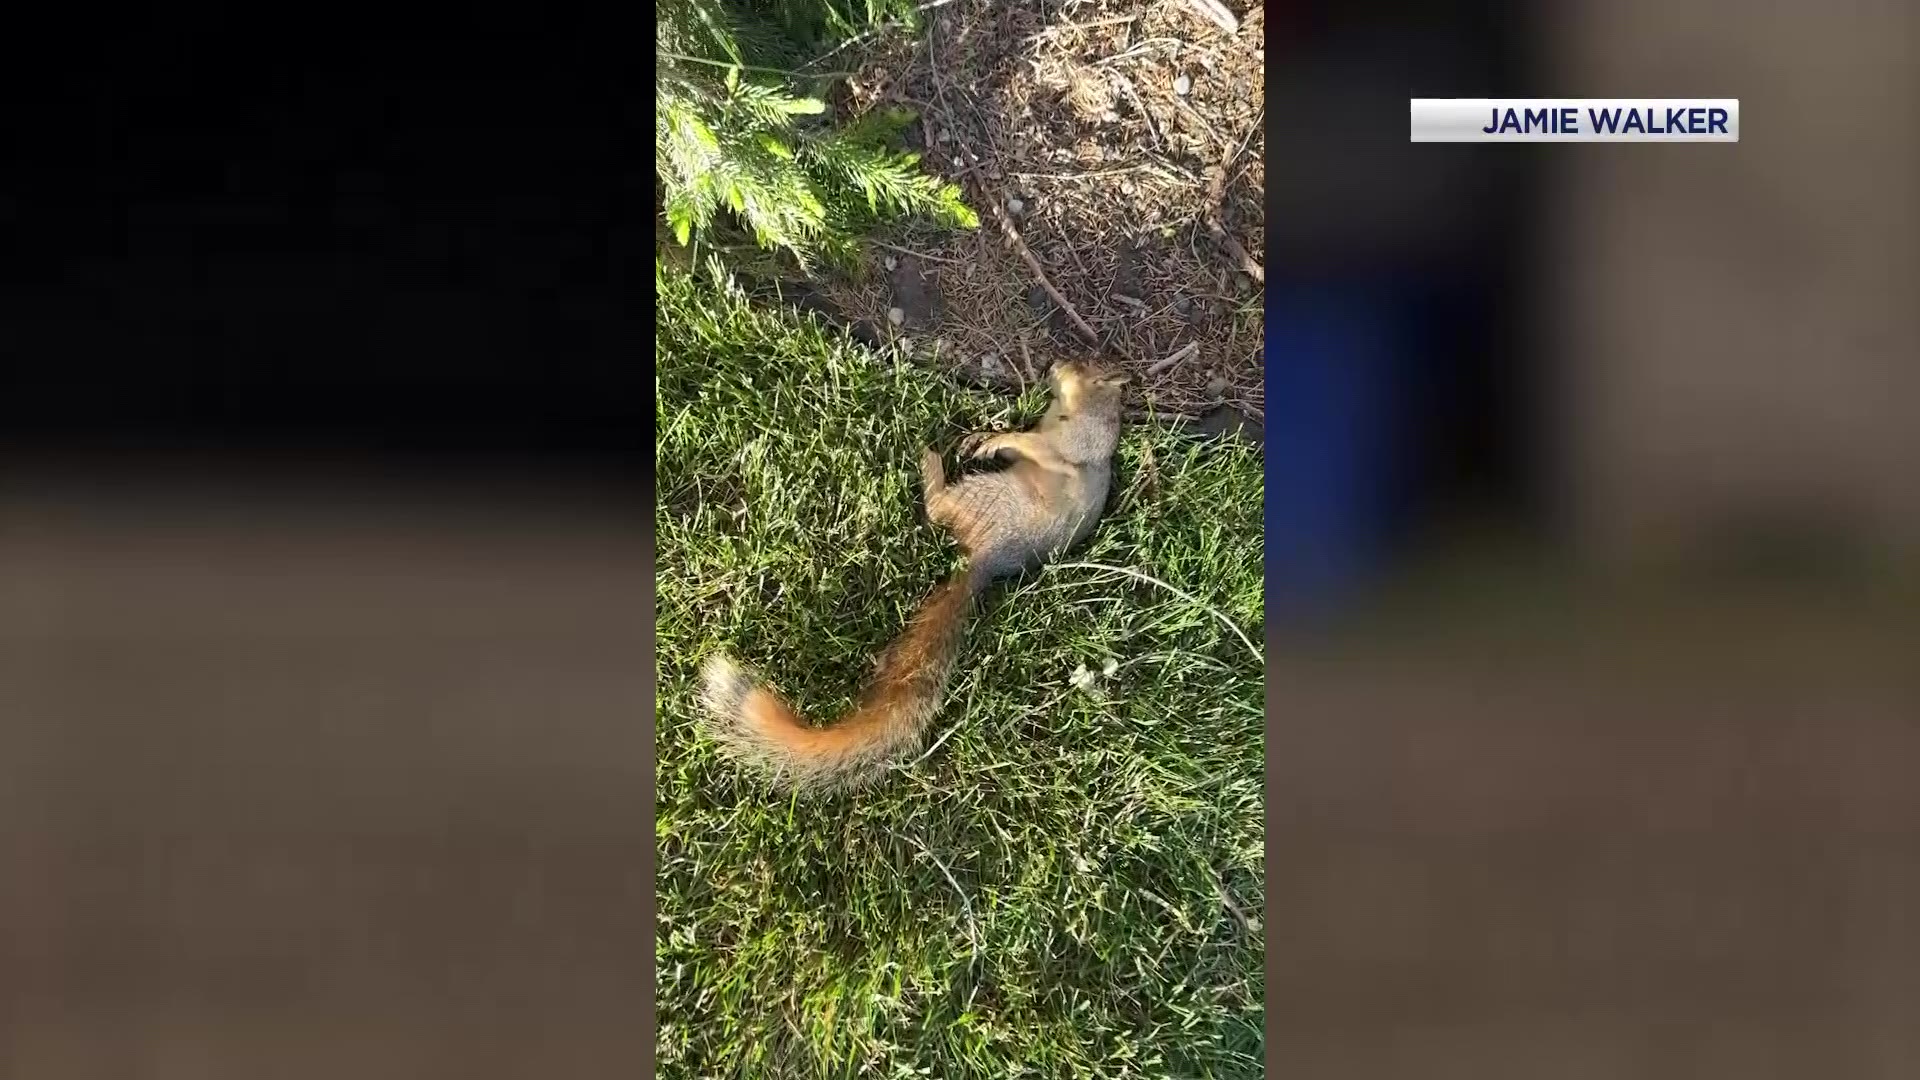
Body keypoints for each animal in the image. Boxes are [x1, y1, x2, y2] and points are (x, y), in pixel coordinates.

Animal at [700, 359, 1128, 792]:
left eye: (1084, 368)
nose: (1052, 366)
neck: (1068, 409)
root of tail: (986, 557)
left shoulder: (1076, 443)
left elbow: (1042, 447)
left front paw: (998, 439)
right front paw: (984, 437)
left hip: (989, 495)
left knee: (938, 509)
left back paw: (930, 461)